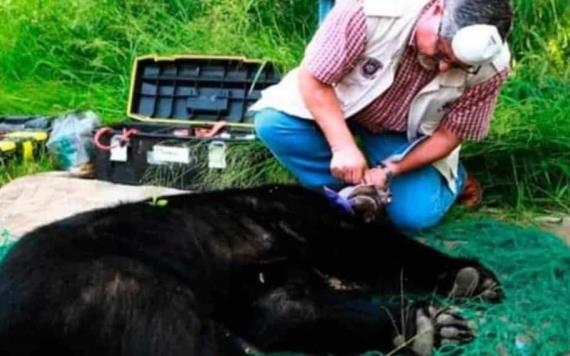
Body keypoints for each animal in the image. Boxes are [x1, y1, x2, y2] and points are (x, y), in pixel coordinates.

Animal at [0, 185, 496, 354]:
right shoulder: (309, 219)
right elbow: (372, 247)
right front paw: (467, 277)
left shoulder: (263, 278)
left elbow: (290, 312)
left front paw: (429, 326)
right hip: (113, 283)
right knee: (168, 332)